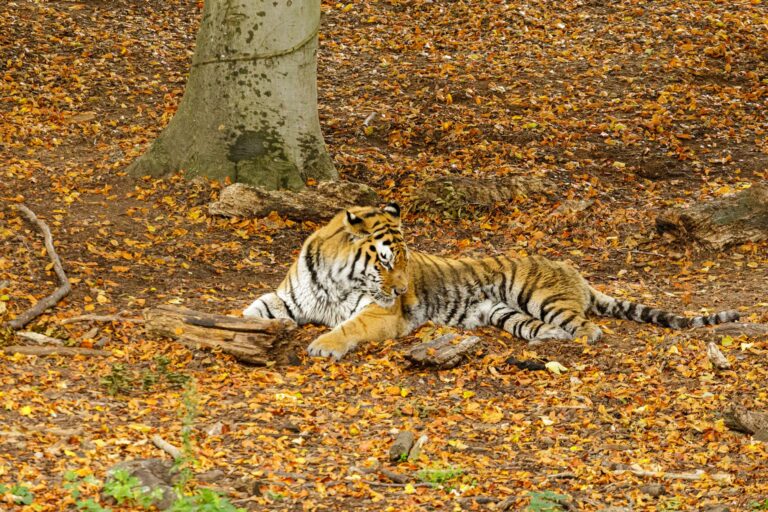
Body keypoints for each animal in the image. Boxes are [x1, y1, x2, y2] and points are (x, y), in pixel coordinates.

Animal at [243, 203, 740, 360]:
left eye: (403, 263)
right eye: (385, 262)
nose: (402, 290)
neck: (333, 276)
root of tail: (576, 271)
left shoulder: (379, 313)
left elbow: (349, 327)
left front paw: (324, 345)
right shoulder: (285, 298)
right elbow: (251, 309)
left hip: (538, 296)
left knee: (591, 328)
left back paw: (572, 342)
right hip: (505, 312)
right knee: (549, 328)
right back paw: (546, 340)